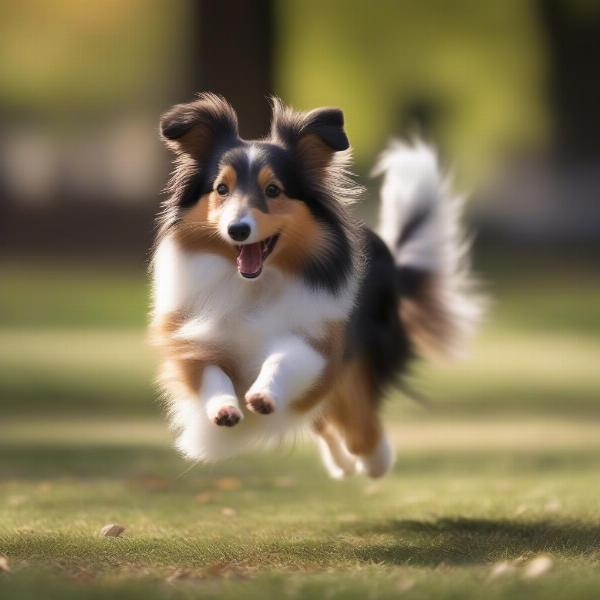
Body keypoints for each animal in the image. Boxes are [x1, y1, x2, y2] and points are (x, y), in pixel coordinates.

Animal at [151, 94, 482, 478]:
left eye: (273, 190)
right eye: (222, 189)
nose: (238, 229)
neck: (254, 286)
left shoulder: (320, 344)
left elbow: (282, 359)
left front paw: (263, 395)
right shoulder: (194, 338)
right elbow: (210, 375)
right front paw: (224, 409)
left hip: (358, 368)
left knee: (361, 427)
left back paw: (375, 461)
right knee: (328, 423)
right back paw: (343, 464)